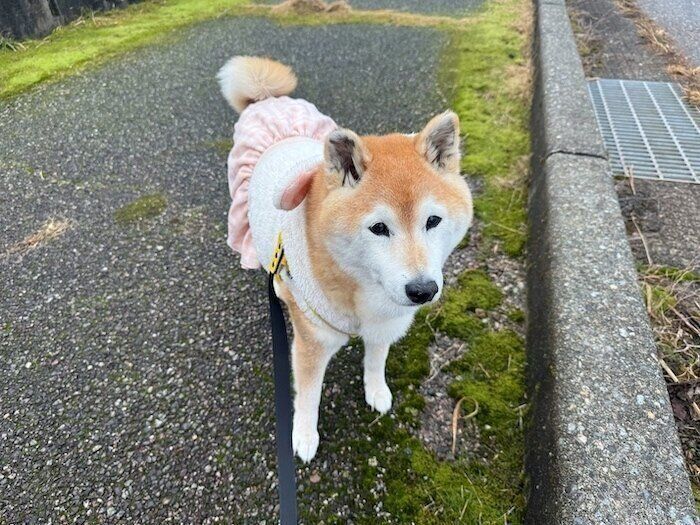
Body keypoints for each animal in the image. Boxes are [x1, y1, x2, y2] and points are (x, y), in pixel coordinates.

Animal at [218, 56, 473, 462]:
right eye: (379, 228)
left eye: (433, 221)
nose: (422, 290)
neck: (359, 286)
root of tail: (266, 101)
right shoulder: (312, 341)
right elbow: (308, 395)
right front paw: (304, 436)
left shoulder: (386, 321)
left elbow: (376, 360)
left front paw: (377, 391)